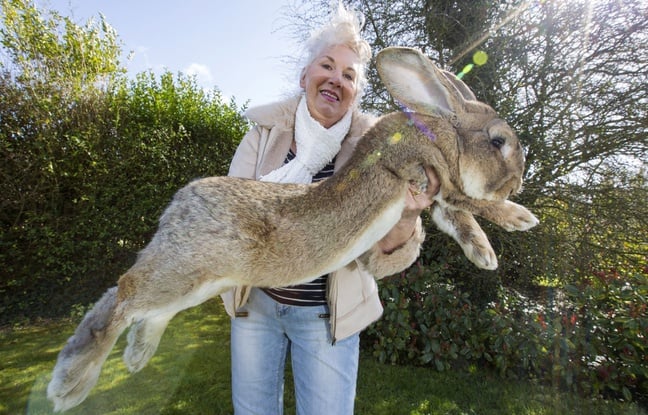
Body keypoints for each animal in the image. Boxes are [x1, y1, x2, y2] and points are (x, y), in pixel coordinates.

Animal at [48, 47, 540, 412]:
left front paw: (484, 254)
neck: (440, 130)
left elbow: (458, 218)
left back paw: (131, 356)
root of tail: (177, 208)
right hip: (186, 270)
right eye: (498, 141)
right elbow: (470, 202)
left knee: (135, 304)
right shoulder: (427, 174)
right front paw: (519, 218)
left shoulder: (434, 196)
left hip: (196, 281)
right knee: (126, 293)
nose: (518, 180)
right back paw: (71, 383)